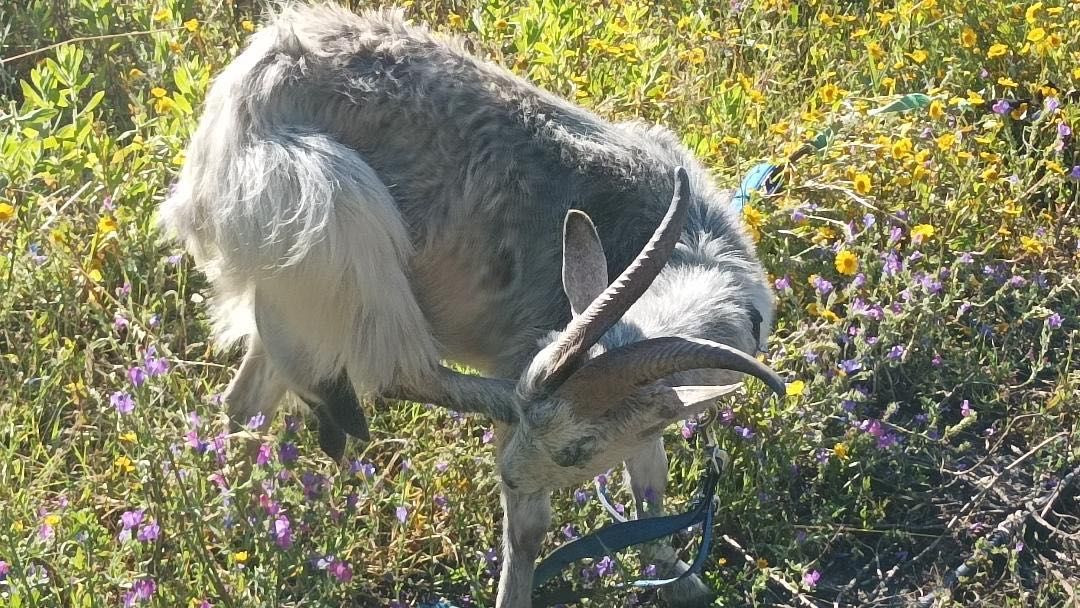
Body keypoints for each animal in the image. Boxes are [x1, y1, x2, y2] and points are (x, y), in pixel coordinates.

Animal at [159, 3, 786, 604]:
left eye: (579, 450)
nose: (508, 475)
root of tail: (247, 83)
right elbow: (531, 530)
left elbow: (649, 483)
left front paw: (677, 577)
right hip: (336, 211)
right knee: (393, 369)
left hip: (294, 284)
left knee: (247, 397)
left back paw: (237, 510)